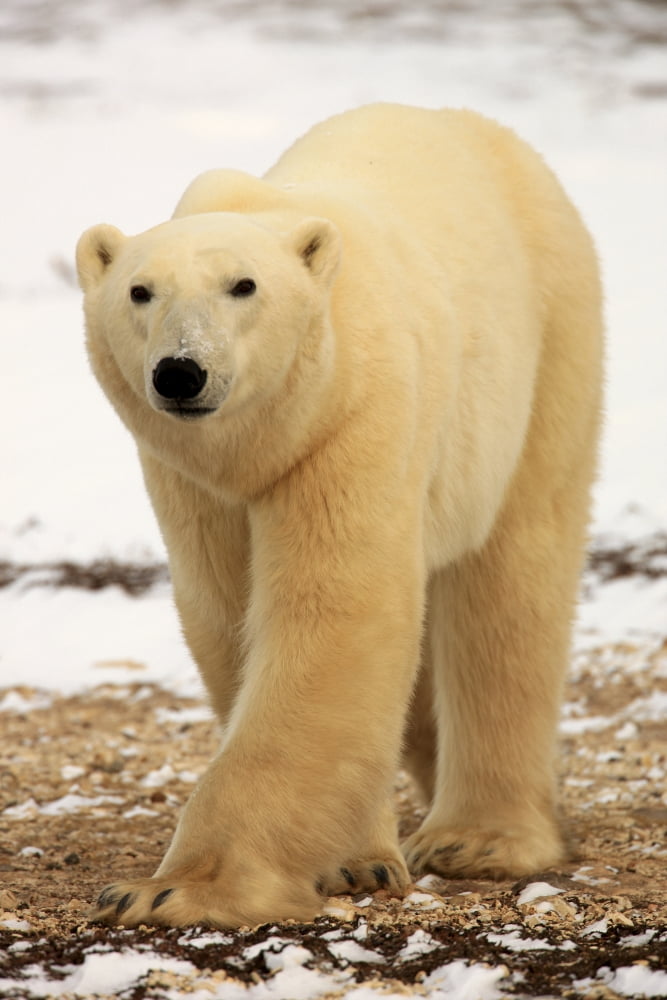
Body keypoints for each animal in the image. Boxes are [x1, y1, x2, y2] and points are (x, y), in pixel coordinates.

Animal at [76, 103, 603, 929]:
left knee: (509, 583)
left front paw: (173, 889)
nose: (181, 372)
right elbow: (227, 615)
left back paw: (478, 838)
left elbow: (332, 615)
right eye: (139, 291)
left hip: (545, 347)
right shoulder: (191, 479)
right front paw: (355, 858)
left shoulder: (351, 413)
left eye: (243, 285)